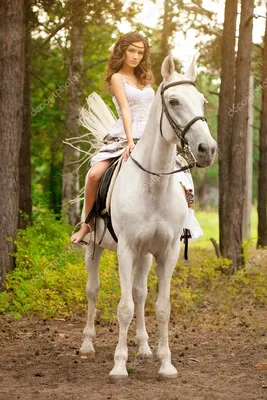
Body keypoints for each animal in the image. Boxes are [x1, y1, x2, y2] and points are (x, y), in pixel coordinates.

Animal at [78, 54, 217, 382]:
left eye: (203, 101)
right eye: (174, 100)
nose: (207, 149)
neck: (153, 185)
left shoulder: (167, 252)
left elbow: (161, 306)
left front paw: (166, 364)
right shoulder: (126, 250)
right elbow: (124, 308)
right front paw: (119, 366)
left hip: (145, 256)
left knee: (140, 294)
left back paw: (143, 347)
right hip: (95, 248)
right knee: (93, 291)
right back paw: (88, 345)